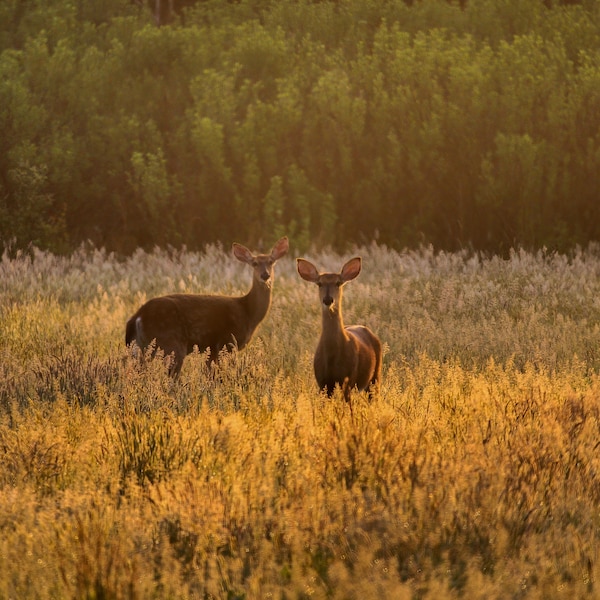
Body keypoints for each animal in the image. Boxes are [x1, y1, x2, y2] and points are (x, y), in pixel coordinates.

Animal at [125, 237, 290, 378]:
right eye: (254, 263)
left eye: (271, 261)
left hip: (139, 347)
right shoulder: (226, 342)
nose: (265, 275)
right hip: (171, 343)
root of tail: (138, 316)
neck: (248, 312)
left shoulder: (213, 348)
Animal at [298, 255, 382, 400]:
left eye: (338, 283)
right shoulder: (322, 382)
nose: (328, 300)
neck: (333, 356)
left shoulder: (348, 379)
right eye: (319, 283)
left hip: (375, 376)